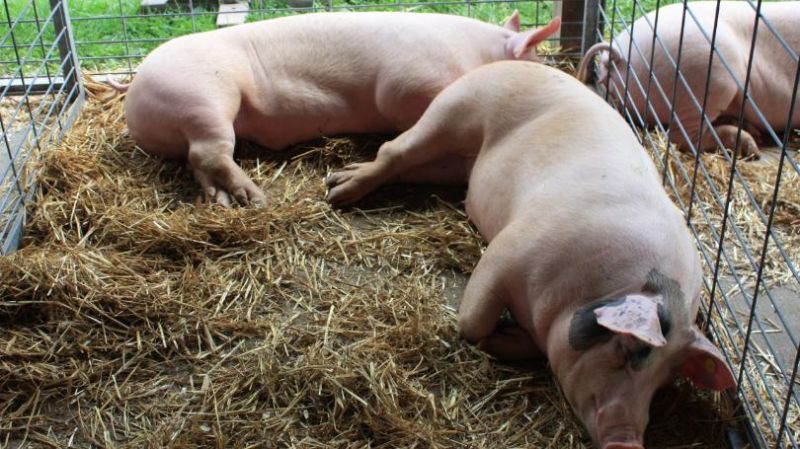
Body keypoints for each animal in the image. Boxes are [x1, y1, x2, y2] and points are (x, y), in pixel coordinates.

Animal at [108, 11, 561, 206]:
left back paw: (222, 201)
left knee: (196, 161)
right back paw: (256, 197)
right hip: (203, 99)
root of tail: (137, 80)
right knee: (209, 152)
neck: (474, 51)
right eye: (535, 60)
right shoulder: (407, 83)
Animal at [325, 60, 736, 449]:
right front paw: (492, 339)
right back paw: (336, 189)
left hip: (450, 164)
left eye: (664, 380)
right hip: (452, 111)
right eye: (627, 349)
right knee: (393, 151)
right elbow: (472, 322)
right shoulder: (508, 250)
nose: (629, 441)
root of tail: (510, 64)